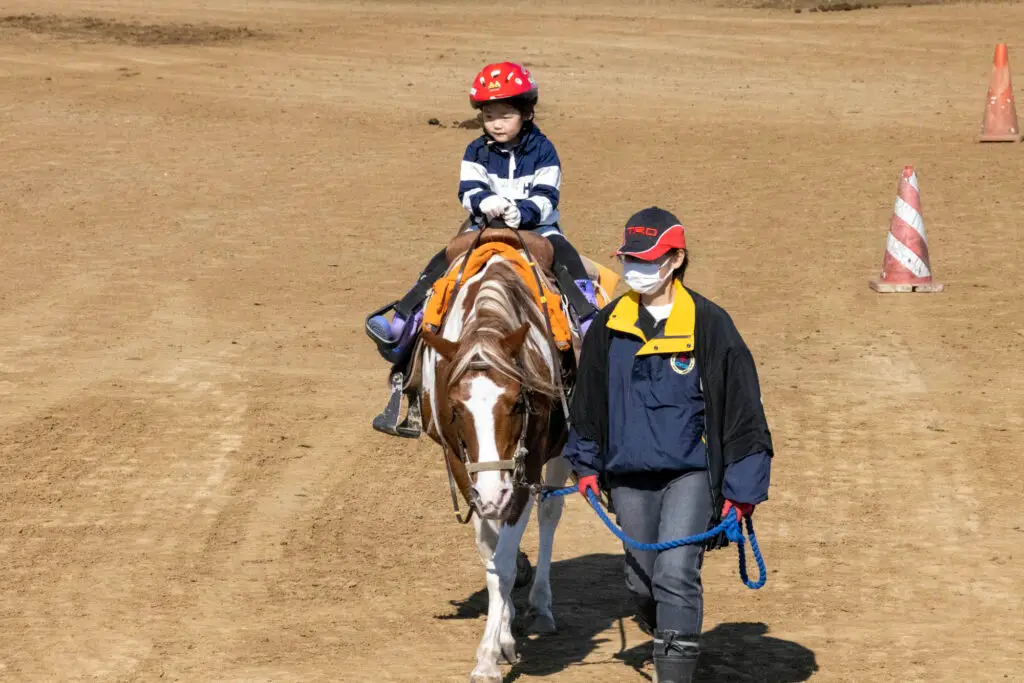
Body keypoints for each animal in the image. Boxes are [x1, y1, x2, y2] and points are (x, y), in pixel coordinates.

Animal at [417, 244, 577, 683]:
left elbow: (503, 564)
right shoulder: (465, 468)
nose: (492, 491)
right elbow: (491, 559)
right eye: (456, 409)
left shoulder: (526, 471)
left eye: (518, 403)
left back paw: (541, 607)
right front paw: (501, 640)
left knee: (549, 515)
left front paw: (488, 658)